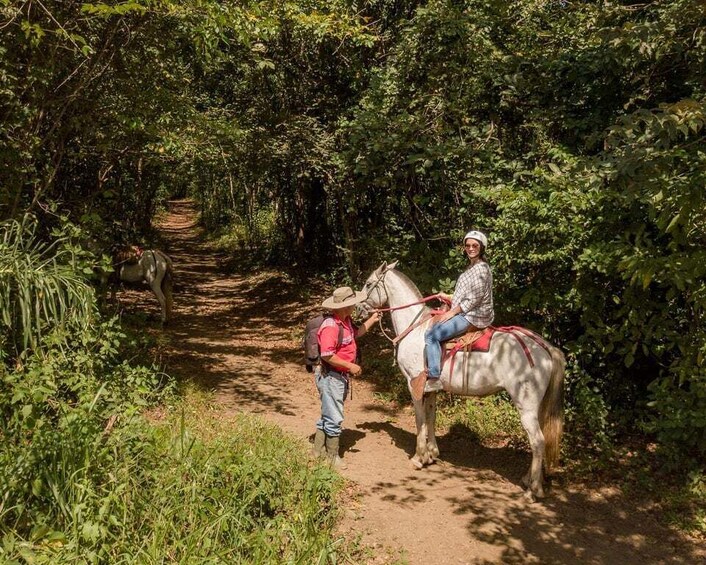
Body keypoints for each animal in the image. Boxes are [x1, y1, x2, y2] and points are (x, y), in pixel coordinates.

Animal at [360, 260, 564, 498]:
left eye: (369, 284)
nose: (359, 308)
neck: (416, 330)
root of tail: (545, 348)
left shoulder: (414, 386)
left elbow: (420, 420)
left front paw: (419, 458)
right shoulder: (431, 390)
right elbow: (431, 418)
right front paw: (432, 454)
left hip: (526, 406)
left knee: (538, 441)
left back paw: (533, 490)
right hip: (537, 407)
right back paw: (528, 479)